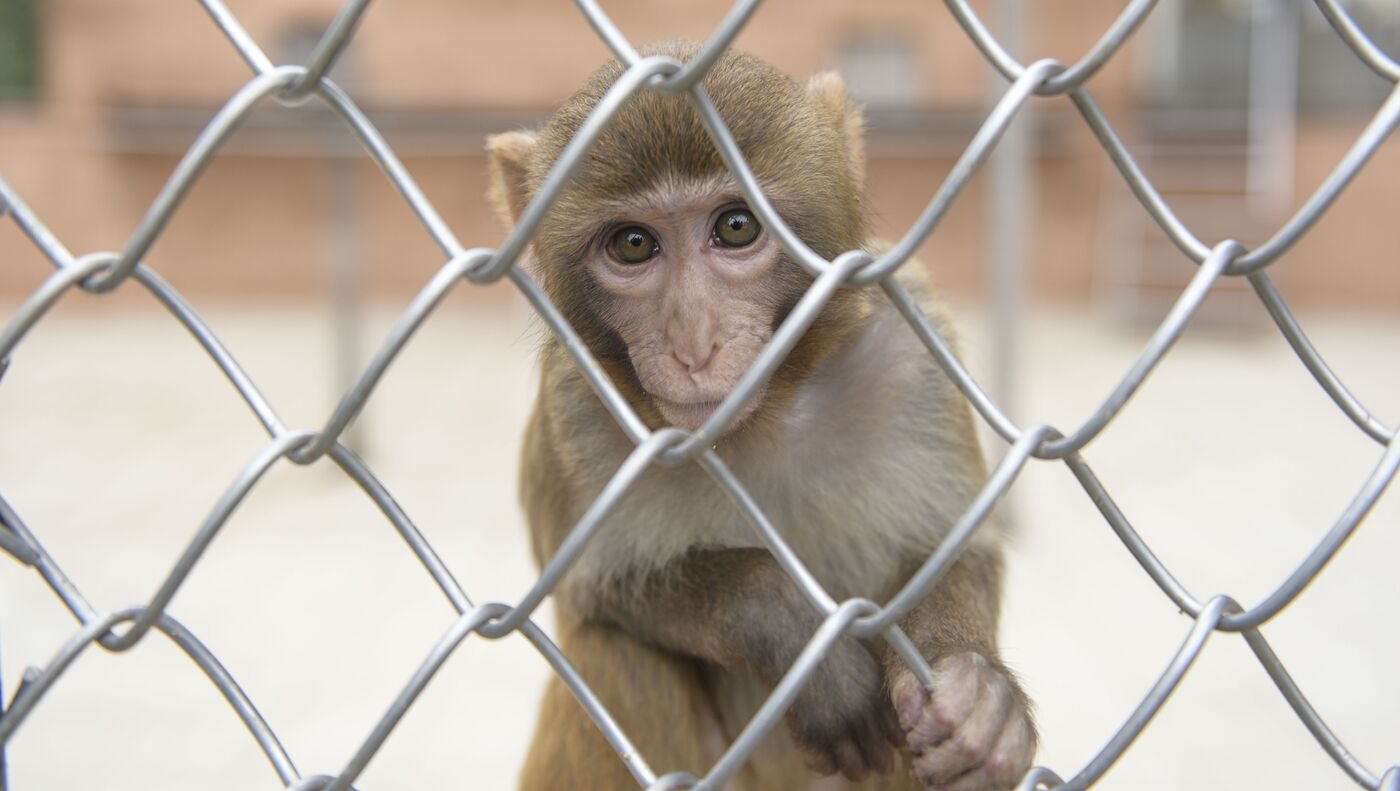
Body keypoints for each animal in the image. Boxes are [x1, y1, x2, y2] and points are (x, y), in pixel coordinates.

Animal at [487, 41, 1036, 789]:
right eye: (632, 244)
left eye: (736, 227)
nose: (694, 343)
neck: (762, 418)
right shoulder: (575, 405)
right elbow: (588, 593)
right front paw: (799, 638)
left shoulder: (913, 350)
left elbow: (954, 549)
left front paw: (980, 696)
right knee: (618, 654)